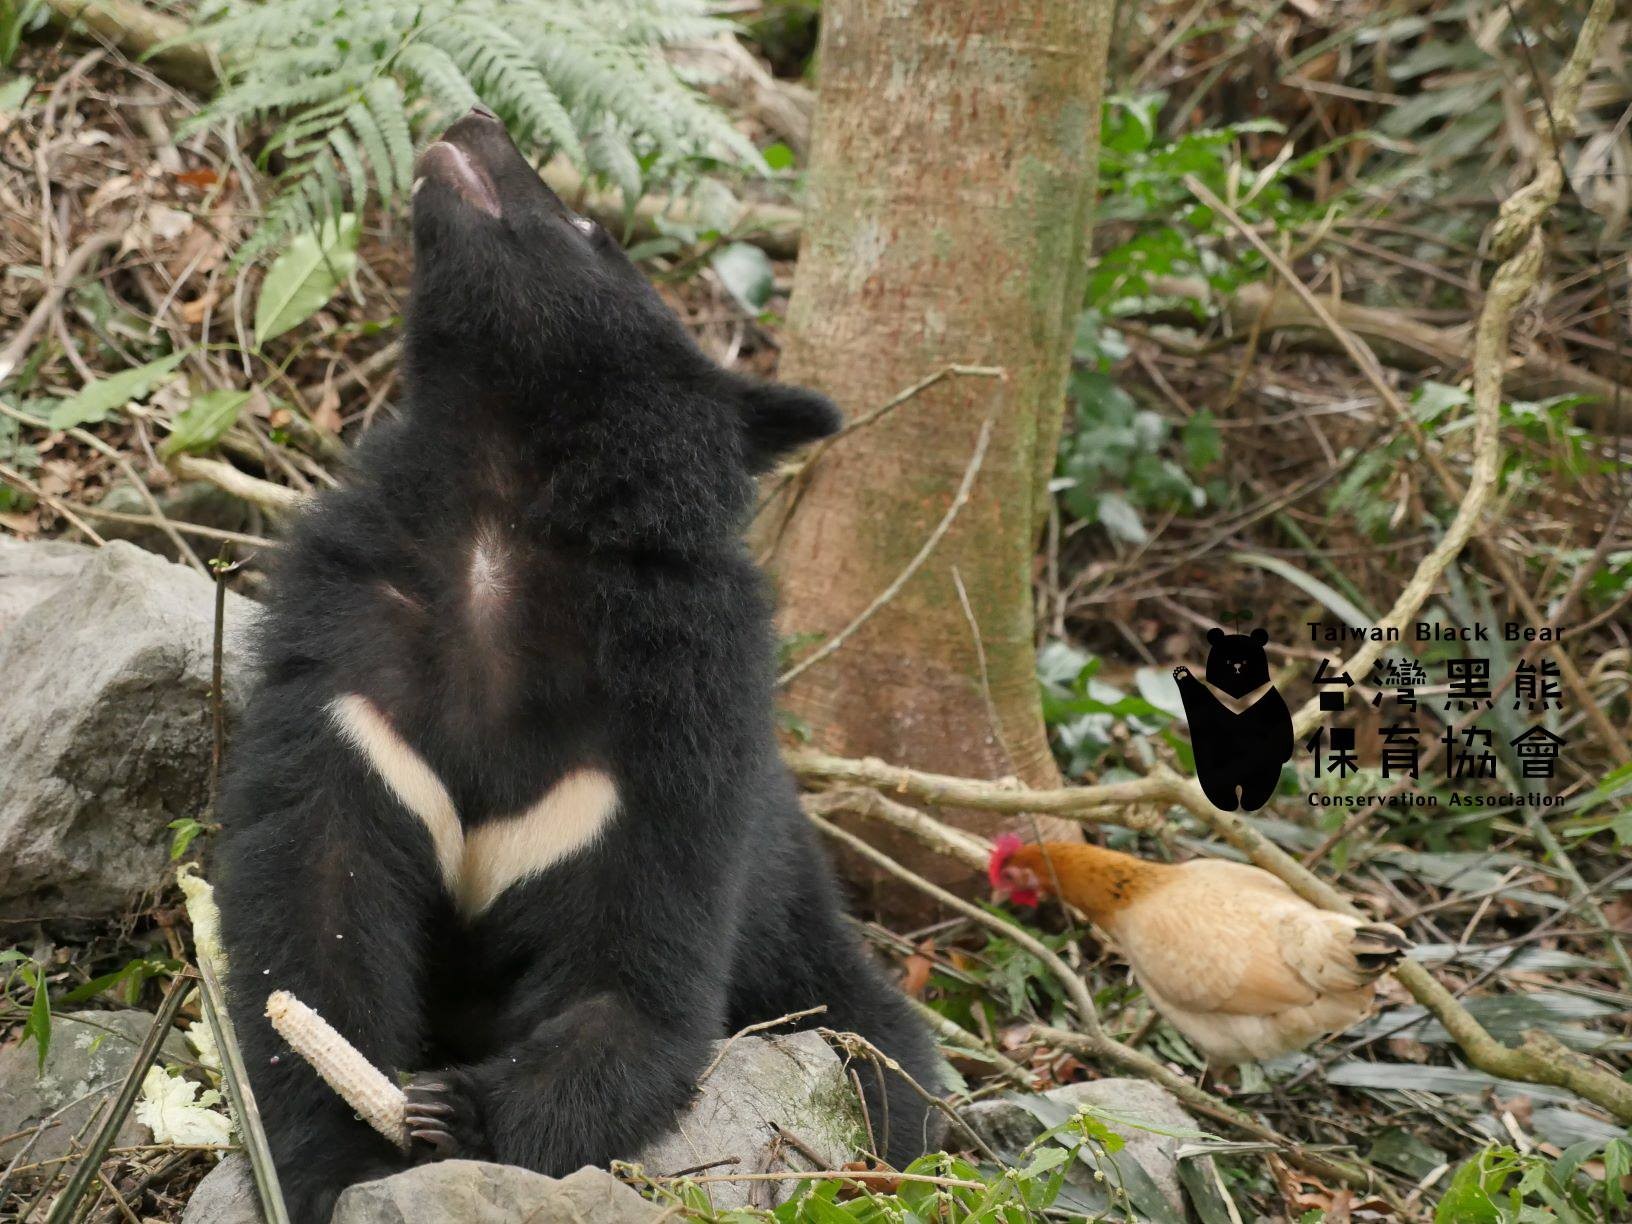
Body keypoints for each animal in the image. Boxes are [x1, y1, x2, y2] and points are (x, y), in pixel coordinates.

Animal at [213, 110, 946, 1220]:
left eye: (589, 227)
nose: (472, 121)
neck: (504, 512)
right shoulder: (350, 662)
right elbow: (313, 912)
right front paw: (338, 1152)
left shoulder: (676, 728)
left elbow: (637, 976)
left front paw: (454, 1120)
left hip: (809, 955)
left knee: (889, 1072)